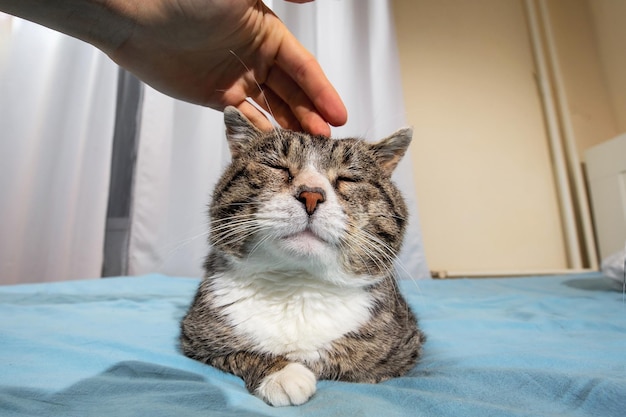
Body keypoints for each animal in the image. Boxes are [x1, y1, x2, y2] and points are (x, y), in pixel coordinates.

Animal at [180, 105, 424, 404]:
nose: (311, 195)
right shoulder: (195, 336)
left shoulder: (406, 349)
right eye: (277, 167)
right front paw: (283, 373)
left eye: (348, 178)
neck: (298, 284)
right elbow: (238, 353)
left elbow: (364, 369)